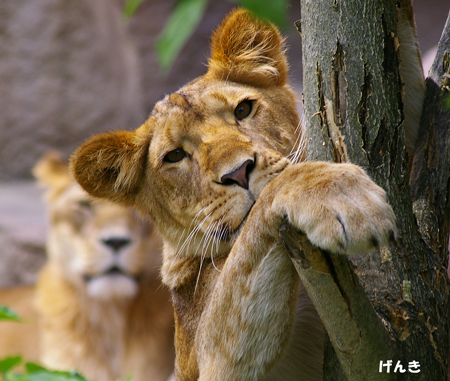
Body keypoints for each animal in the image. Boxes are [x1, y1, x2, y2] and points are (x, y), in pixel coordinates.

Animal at [73, 8, 398, 380]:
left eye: (243, 110)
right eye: (174, 156)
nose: (238, 172)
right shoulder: (205, 360)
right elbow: (269, 199)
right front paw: (346, 199)